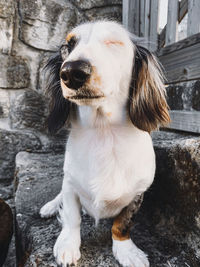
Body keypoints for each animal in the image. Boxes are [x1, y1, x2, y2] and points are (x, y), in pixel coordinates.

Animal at [39, 19, 170, 266]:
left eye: (113, 42)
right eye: (67, 46)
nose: (72, 71)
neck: (103, 131)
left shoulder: (138, 192)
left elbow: (122, 224)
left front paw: (127, 251)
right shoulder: (70, 184)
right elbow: (71, 215)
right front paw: (67, 245)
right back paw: (50, 206)